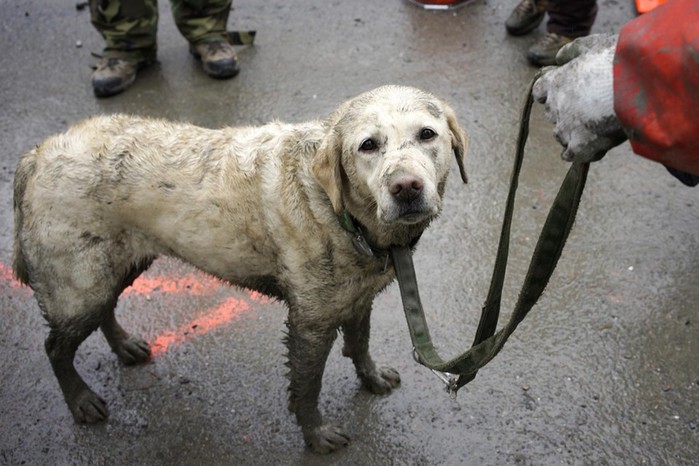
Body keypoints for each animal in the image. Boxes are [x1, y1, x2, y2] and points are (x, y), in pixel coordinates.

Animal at [10, 85, 468, 454]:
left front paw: (370, 377)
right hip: (78, 283)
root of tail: (36, 154)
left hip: (116, 264)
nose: (406, 187)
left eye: (427, 134)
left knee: (105, 307)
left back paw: (123, 344)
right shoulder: (309, 323)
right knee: (56, 347)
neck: (340, 212)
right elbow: (307, 387)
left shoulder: (358, 297)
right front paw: (316, 434)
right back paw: (80, 399)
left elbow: (359, 344)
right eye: (368, 145)